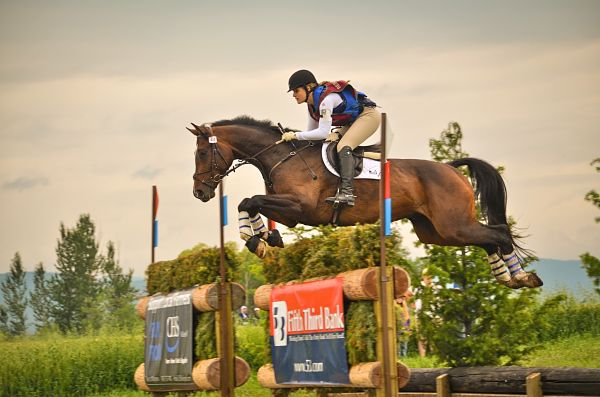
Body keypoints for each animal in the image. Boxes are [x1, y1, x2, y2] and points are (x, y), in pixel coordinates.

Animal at [188, 114, 544, 288]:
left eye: (202, 153)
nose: (200, 193)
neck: (280, 156)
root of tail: (450, 168)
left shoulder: (300, 208)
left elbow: (250, 201)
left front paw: (256, 241)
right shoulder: (289, 212)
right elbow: (249, 203)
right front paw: (263, 238)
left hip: (453, 225)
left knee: (498, 234)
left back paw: (522, 278)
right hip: (437, 232)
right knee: (487, 240)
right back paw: (508, 278)